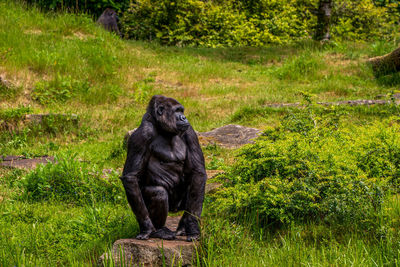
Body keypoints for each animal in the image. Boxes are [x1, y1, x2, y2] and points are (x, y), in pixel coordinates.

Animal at [121, 95, 206, 242]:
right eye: (177, 111)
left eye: (182, 111)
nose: (184, 118)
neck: (162, 128)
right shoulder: (142, 135)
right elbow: (131, 177)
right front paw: (147, 228)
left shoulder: (190, 132)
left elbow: (198, 173)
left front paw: (192, 226)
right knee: (158, 193)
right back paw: (160, 230)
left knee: (193, 188)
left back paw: (183, 227)